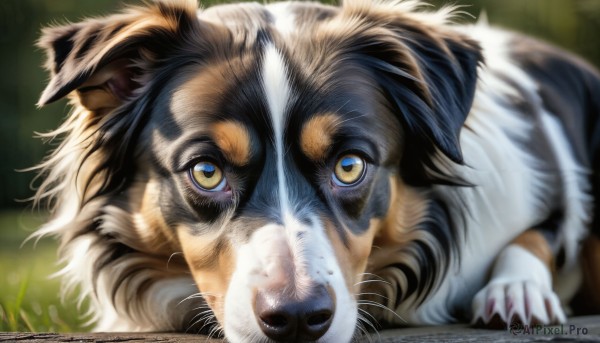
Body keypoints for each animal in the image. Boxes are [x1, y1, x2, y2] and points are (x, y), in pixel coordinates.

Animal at [34, 0, 600, 342]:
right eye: (207, 172)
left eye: (349, 166)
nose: (297, 320)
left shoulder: (557, 188)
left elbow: (541, 234)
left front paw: (516, 290)